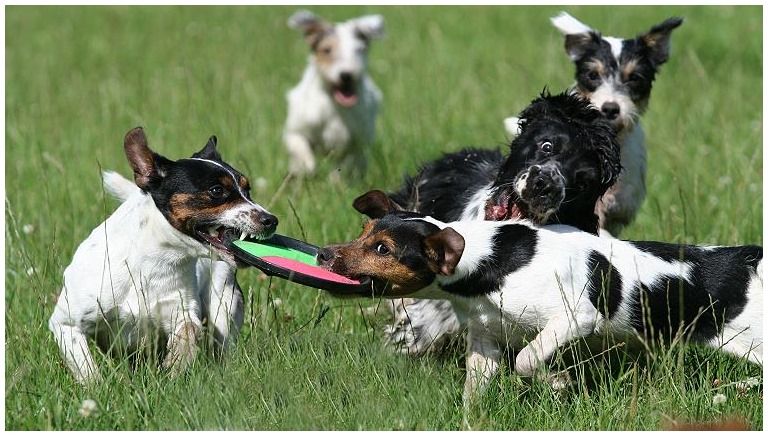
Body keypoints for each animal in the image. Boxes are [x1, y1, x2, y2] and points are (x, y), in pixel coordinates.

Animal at [47, 126, 280, 382]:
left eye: (247, 189)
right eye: (216, 190)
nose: (271, 220)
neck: (150, 263)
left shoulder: (180, 311)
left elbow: (190, 330)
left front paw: (173, 368)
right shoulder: (66, 324)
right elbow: (87, 368)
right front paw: (97, 386)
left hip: (224, 305)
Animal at [284, 8, 384, 175]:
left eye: (359, 50)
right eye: (327, 50)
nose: (346, 75)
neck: (335, 106)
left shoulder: (354, 142)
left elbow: (346, 163)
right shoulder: (296, 129)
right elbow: (298, 145)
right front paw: (307, 166)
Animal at [318, 191, 760, 408]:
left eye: (383, 249)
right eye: (364, 231)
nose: (323, 254)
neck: (490, 264)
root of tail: (749, 259)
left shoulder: (575, 318)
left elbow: (526, 360)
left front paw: (558, 383)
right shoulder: (484, 344)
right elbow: (474, 392)